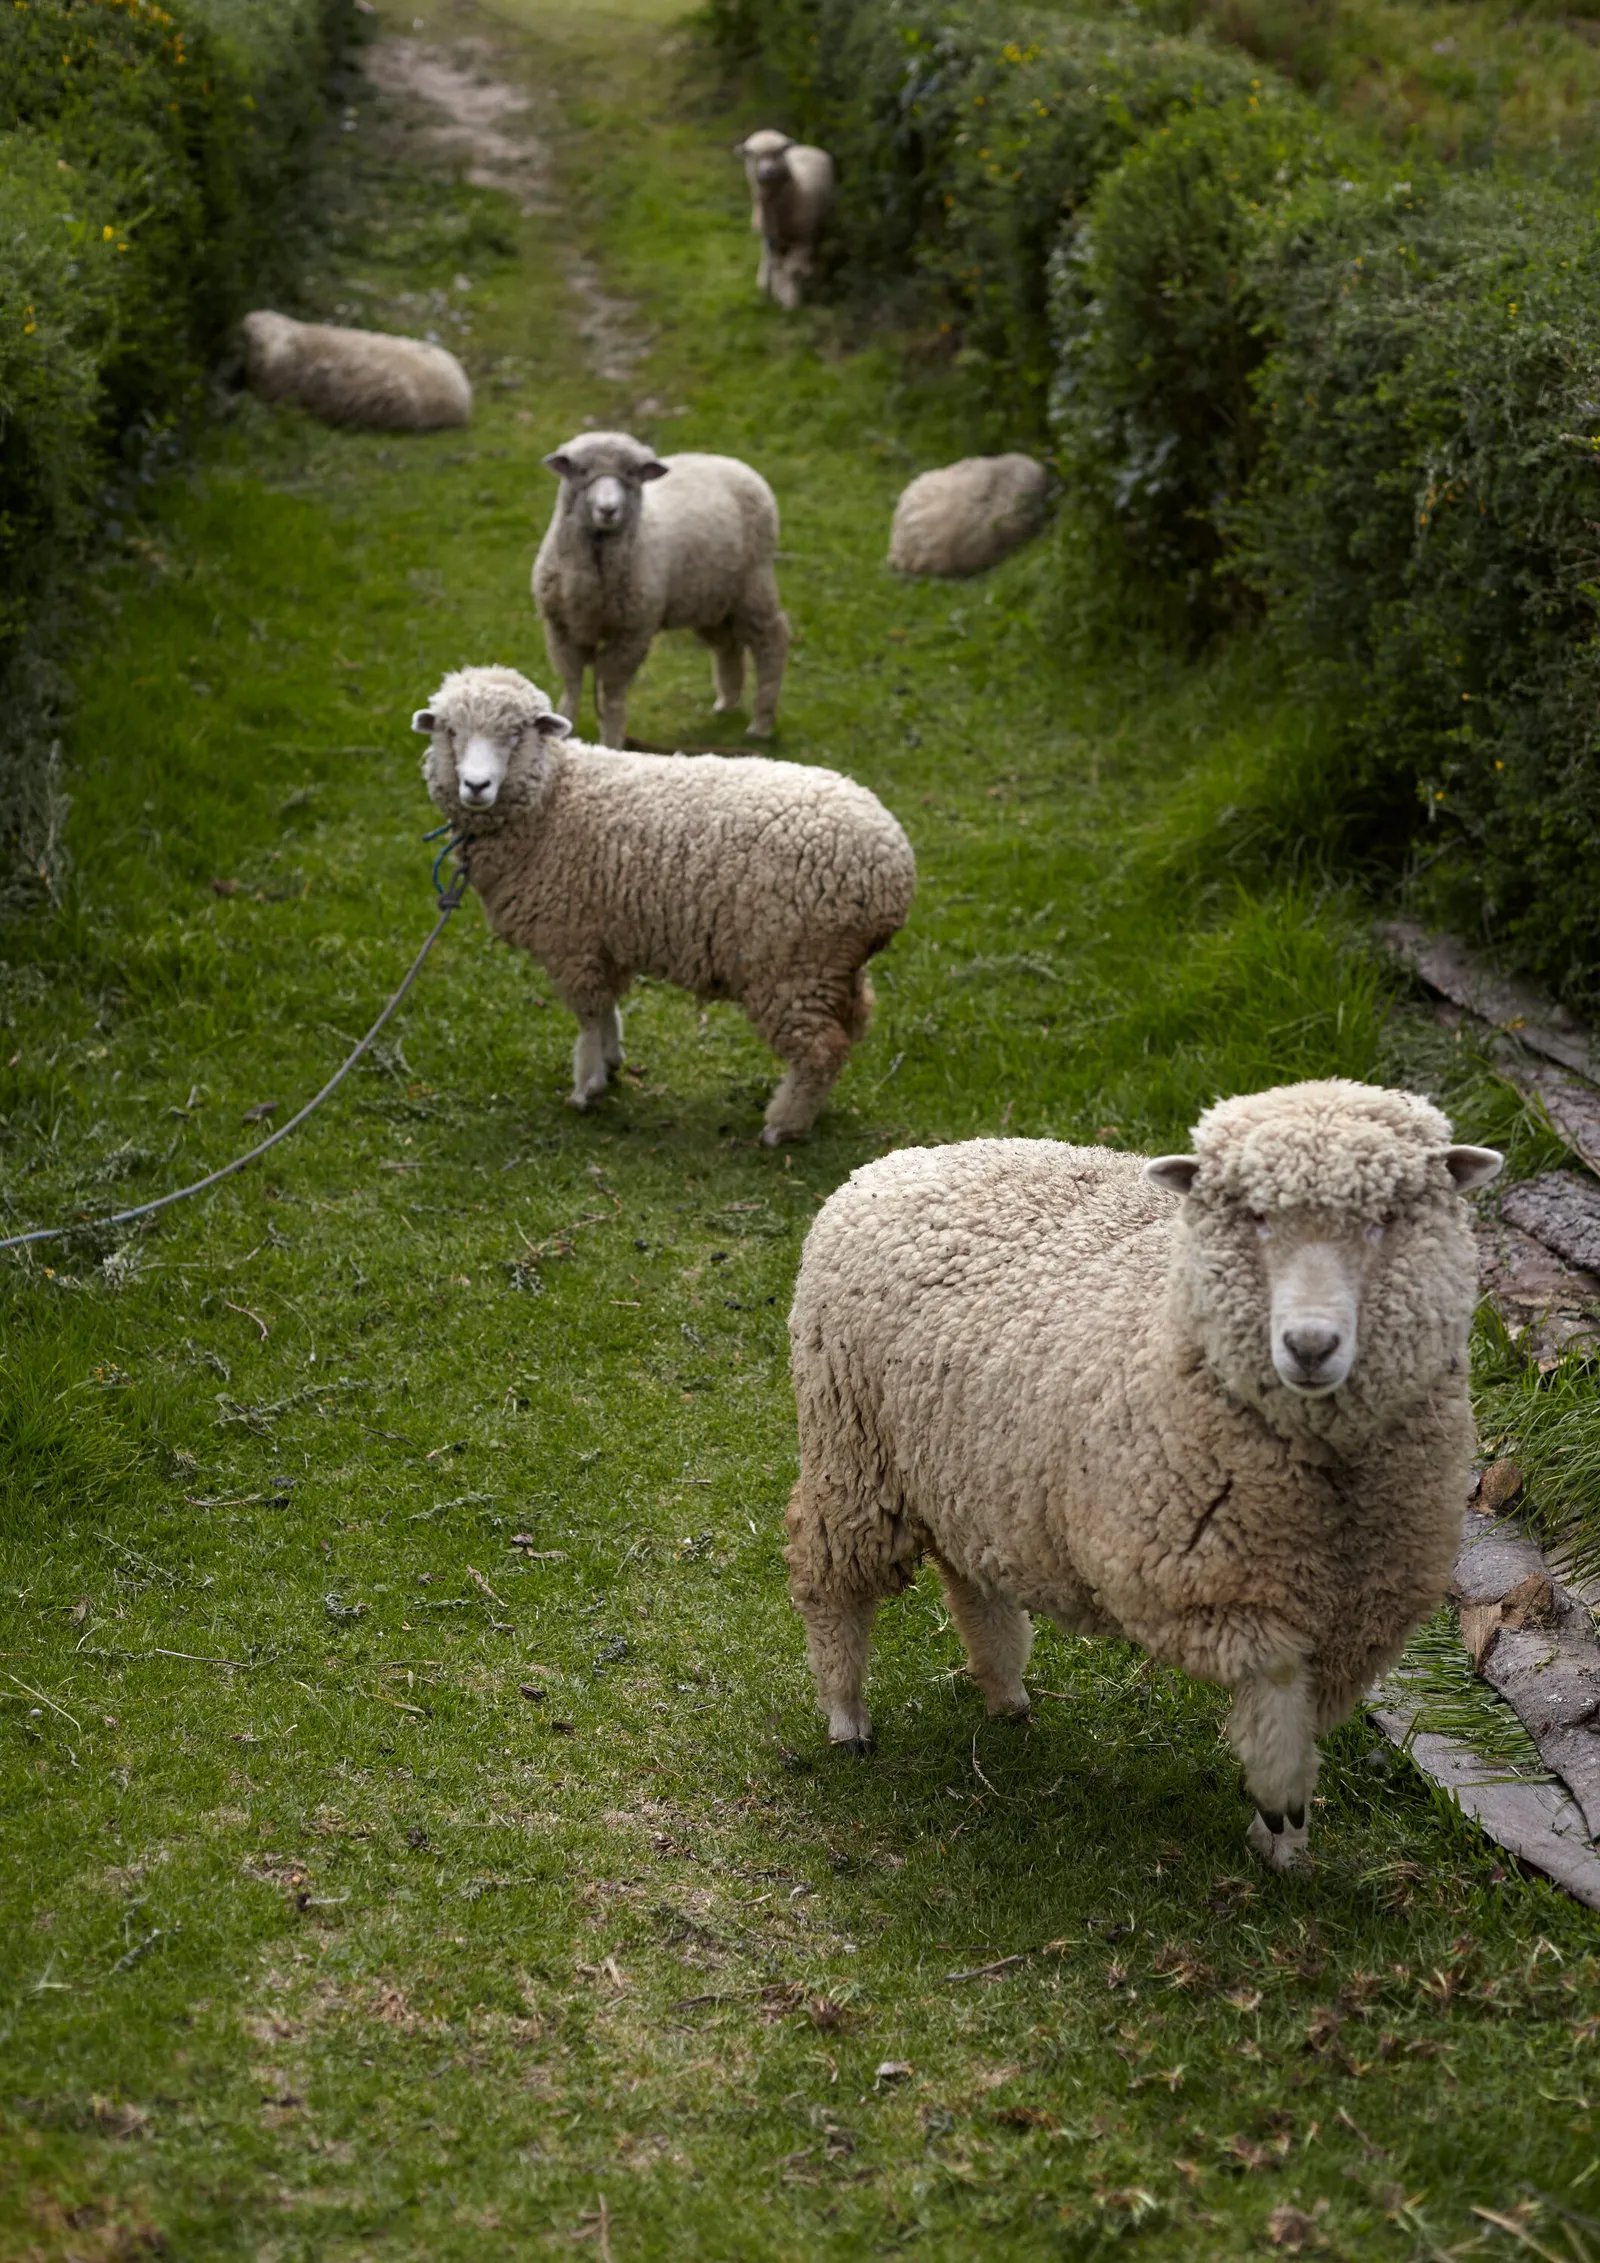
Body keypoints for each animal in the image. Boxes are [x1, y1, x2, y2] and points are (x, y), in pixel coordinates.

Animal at [414, 665, 915, 1142]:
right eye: (450, 731)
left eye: (517, 732)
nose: (476, 785)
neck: (554, 797)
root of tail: (894, 868)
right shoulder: (603, 935)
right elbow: (607, 1006)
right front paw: (611, 1060)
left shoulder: (571, 940)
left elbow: (589, 1014)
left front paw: (586, 1086)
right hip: (834, 965)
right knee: (852, 1026)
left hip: (791, 965)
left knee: (822, 1049)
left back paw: (783, 1125)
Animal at [533, 431, 790, 751]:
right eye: (579, 470)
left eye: (632, 473)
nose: (608, 510)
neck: (597, 568)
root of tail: (730, 462)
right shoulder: (561, 629)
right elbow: (571, 687)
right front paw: (563, 732)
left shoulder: (631, 634)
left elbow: (611, 695)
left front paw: (612, 743)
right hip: (710, 599)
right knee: (727, 645)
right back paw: (727, 703)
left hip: (753, 584)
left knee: (772, 640)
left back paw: (761, 724)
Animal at [733, 129, 836, 310]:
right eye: (752, 155)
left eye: (778, 152)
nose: (767, 172)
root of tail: (807, 146)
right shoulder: (772, 238)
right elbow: (777, 265)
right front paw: (777, 291)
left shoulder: (803, 237)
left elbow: (791, 269)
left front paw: (790, 299)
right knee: (768, 258)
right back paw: (764, 280)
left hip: (822, 222)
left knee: (815, 247)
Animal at [784, 1079, 1503, 1870]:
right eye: (1252, 1216)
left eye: (1386, 1220)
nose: (1309, 1345)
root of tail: (900, 1161)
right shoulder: (1203, 1587)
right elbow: (1277, 1685)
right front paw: (1279, 1798)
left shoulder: (1360, 1614)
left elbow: (1307, 1714)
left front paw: (1283, 1840)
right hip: (852, 1452)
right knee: (828, 1580)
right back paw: (846, 1714)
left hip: (964, 1469)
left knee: (969, 1576)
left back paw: (1004, 1689)